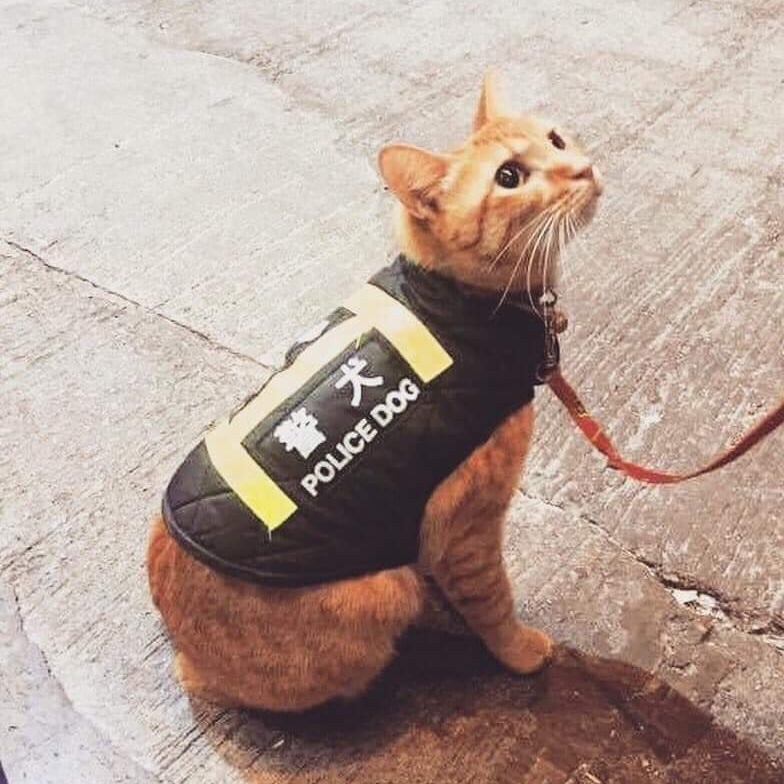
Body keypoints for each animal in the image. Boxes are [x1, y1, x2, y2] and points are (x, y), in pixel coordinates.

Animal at [147, 71, 602, 711]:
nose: (583, 169)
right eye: (510, 177)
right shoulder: (469, 527)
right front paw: (520, 652)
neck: (457, 298)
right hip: (384, 591)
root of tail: (182, 648)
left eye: (556, 139)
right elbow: (493, 602)